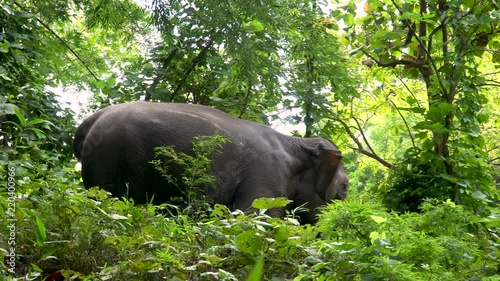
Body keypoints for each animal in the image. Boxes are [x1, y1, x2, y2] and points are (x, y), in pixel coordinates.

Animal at [74, 100, 348, 223]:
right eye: (344, 189)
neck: (296, 143)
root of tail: (87, 124)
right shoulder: (269, 172)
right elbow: (254, 215)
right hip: (109, 157)